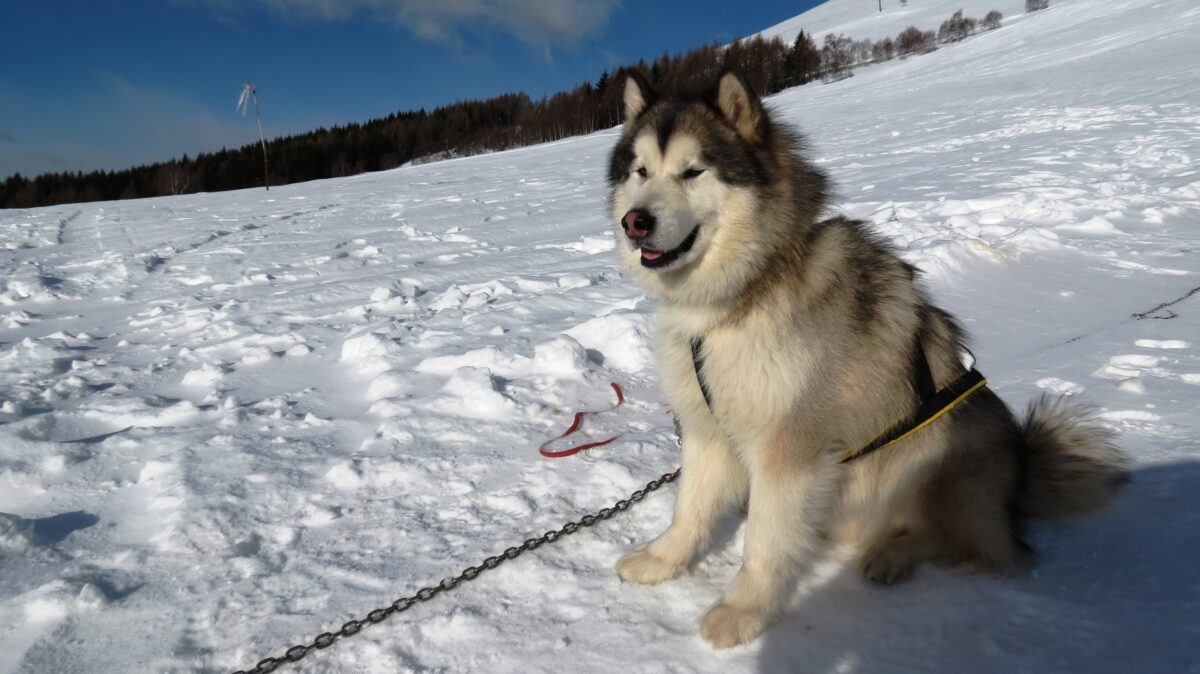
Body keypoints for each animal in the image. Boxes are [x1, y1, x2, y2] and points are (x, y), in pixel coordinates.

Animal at [609, 70, 1123, 647]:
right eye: (640, 171)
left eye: (693, 171)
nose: (635, 222)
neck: (744, 297)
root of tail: (1017, 480)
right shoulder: (706, 427)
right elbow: (690, 509)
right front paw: (663, 559)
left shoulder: (790, 445)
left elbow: (764, 541)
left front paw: (742, 610)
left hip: (943, 463)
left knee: (968, 545)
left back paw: (893, 555)